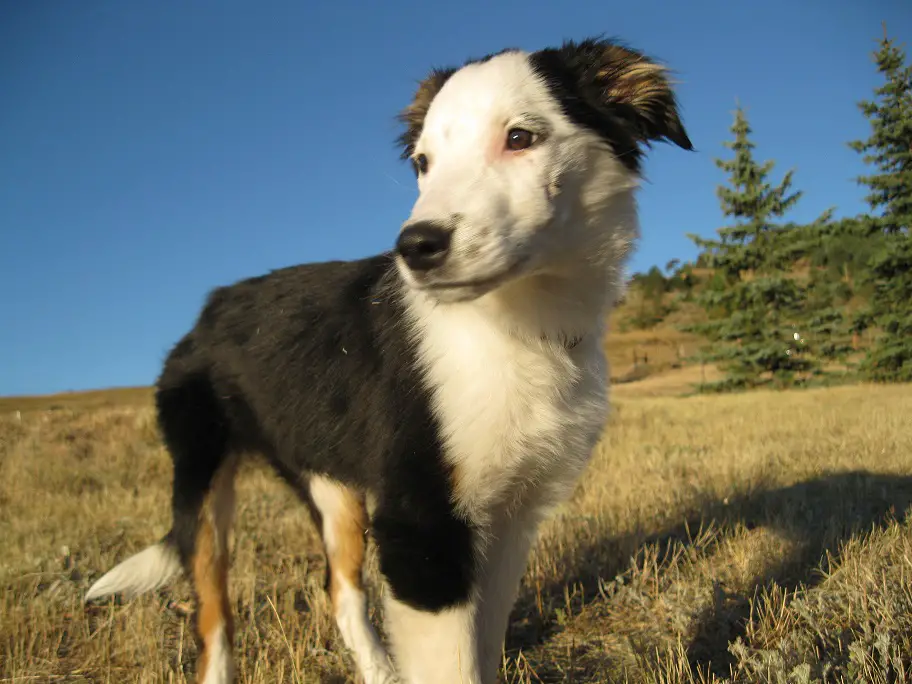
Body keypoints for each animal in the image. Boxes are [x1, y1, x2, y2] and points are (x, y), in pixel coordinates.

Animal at [85, 37, 692, 684]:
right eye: (423, 163)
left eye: (520, 137)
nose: (415, 248)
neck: (517, 327)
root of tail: (208, 309)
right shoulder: (421, 525)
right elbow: (453, 666)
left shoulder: (511, 515)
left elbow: (484, 645)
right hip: (203, 484)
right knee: (213, 615)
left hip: (332, 486)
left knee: (340, 590)